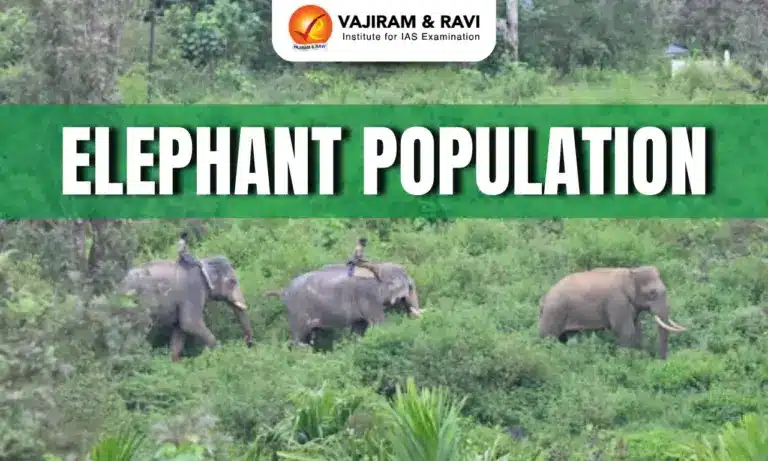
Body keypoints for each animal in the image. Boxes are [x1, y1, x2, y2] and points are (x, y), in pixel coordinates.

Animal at [119, 255, 253, 362]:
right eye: (232, 281)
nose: (247, 343)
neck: (202, 262)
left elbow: (180, 328)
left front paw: (176, 362)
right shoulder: (194, 290)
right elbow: (190, 323)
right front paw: (220, 352)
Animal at [265, 261, 422, 346]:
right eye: (410, 286)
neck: (379, 266)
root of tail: (284, 291)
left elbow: (359, 327)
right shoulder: (369, 298)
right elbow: (379, 324)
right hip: (297, 312)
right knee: (299, 337)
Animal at [538, 266, 687, 359]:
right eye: (652, 293)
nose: (661, 360)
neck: (630, 272)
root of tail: (544, 299)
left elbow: (637, 328)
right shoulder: (617, 302)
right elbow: (626, 331)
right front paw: (627, 359)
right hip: (554, 312)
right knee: (549, 339)